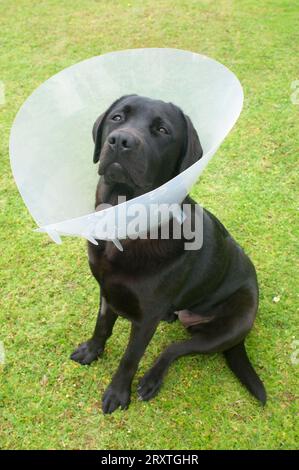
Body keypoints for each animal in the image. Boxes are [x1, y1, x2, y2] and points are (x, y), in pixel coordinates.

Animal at [71, 94, 268, 414]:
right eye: (117, 117)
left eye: (162, 131)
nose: (120, 140)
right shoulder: (107, 289)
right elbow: (101, 325)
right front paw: (91, 350)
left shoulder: (146, 318)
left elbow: (130, 357)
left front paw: (117, 393)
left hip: (226, 328)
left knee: (173, 349)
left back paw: (152, 380)